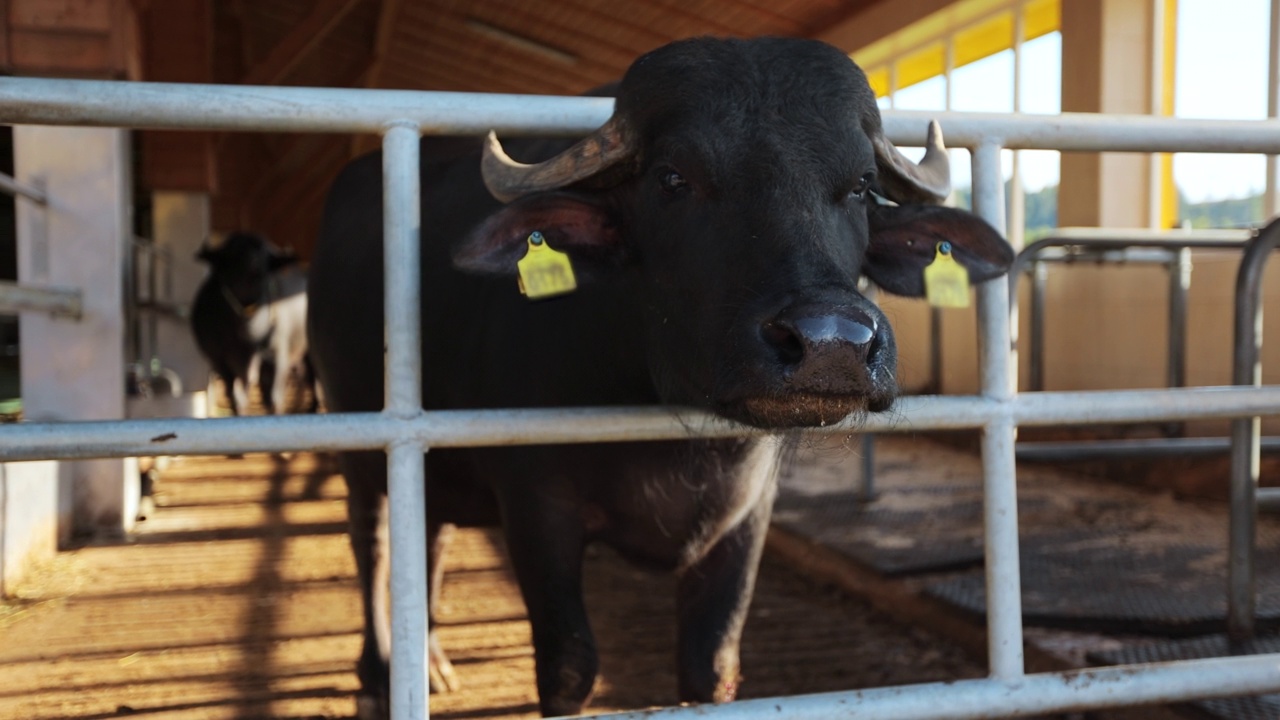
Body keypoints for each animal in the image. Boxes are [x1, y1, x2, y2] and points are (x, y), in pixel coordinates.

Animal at [192, 229, 317, 415]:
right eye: (233, 253)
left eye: (264, 255)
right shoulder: (220, 362)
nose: (253, 264)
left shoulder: (279, 356)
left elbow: (274, 397)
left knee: (312, 378)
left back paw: (312, 407)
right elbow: (236, 398)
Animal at [307, 36, 1008, 712]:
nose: (830, 342)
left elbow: (711, 666)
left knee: (430, 540)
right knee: (374, 544)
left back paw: (428, 660)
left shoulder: (746, 516)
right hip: (359, 444)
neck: (672, 436)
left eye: (861, 185)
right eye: (674, 178)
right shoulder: (535, 504)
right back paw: (379, 674)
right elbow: (569, 667)